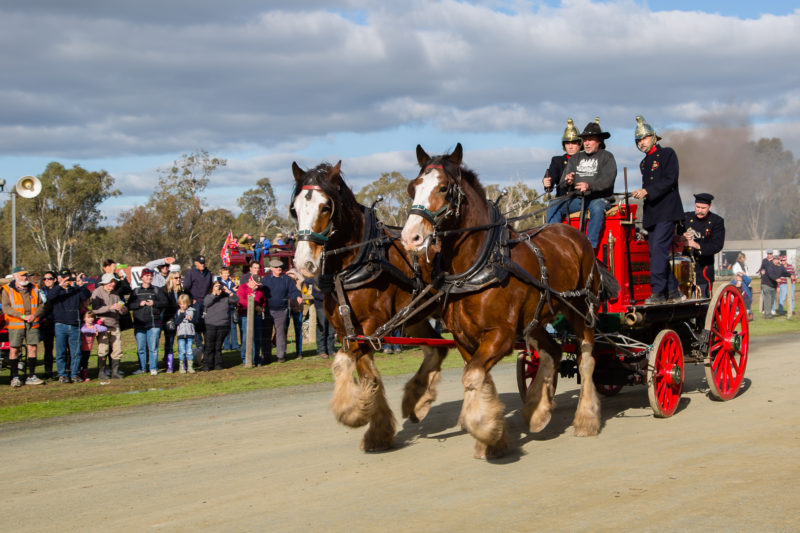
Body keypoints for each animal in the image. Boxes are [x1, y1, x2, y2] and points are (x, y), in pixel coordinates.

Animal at [290, 161, 450, 448]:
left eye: (326, 207)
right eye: (294, 209)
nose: (303, 264)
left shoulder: (371, 325)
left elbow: (354, 367)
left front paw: (357, 415)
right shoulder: (343, 327)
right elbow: (358, 369)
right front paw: (373, 424)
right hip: (416, 316)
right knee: (436, 349)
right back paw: (417, 401)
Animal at [400, 144, 620, 458]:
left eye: (443, 188)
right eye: (412, 187)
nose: (411, 237)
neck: (479, 265)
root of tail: (576, 234)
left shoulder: (501, 335)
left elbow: (473, 377)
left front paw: (483, 429)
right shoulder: (464, 339)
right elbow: (479, 377)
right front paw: (493, 435)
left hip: (580, 309)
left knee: (587, 358)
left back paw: (586, 419)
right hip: (536, 317)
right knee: (553, 351)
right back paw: (537, 412)